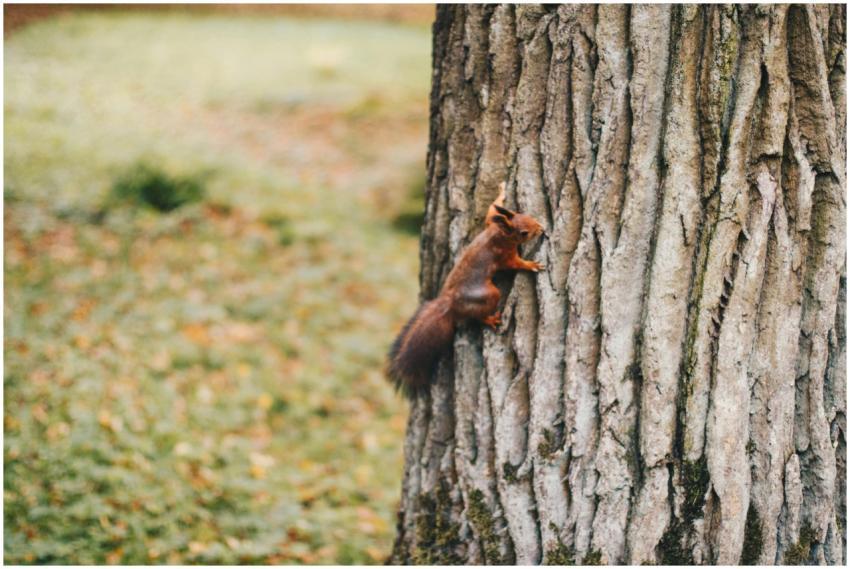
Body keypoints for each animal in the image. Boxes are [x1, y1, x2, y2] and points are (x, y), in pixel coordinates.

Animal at [387, 186, 545, 397]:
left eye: (526, 215)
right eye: (524, 233)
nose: (541, 228)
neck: (499, 233)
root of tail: (449, 303)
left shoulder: (489, 223)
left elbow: (491, 211)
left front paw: (501, 192)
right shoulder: (504, 255)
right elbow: (515, 264)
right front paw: (531, 265)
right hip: (489, 294)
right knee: (478, 315)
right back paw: (491, 319)